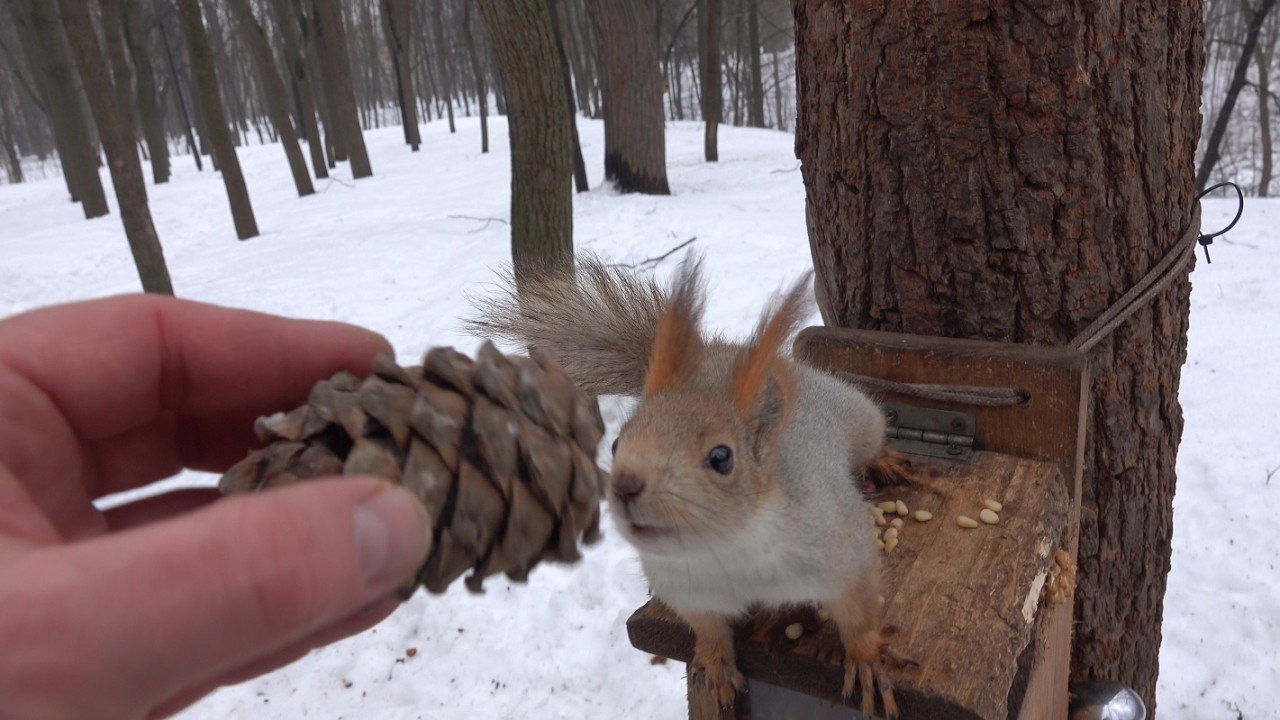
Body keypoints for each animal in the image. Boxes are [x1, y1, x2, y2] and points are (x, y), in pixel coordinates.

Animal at [469, 255, 905, 717]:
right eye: (617, 443)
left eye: (721, 458)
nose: (625, 486)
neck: (727, 550)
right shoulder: (686, 589)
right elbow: (707, 626)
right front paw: (714, 660)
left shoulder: (838, 544)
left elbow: (858, 609)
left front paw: (866, 658)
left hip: (857, 416)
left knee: (870, 437)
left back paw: (883, 460)